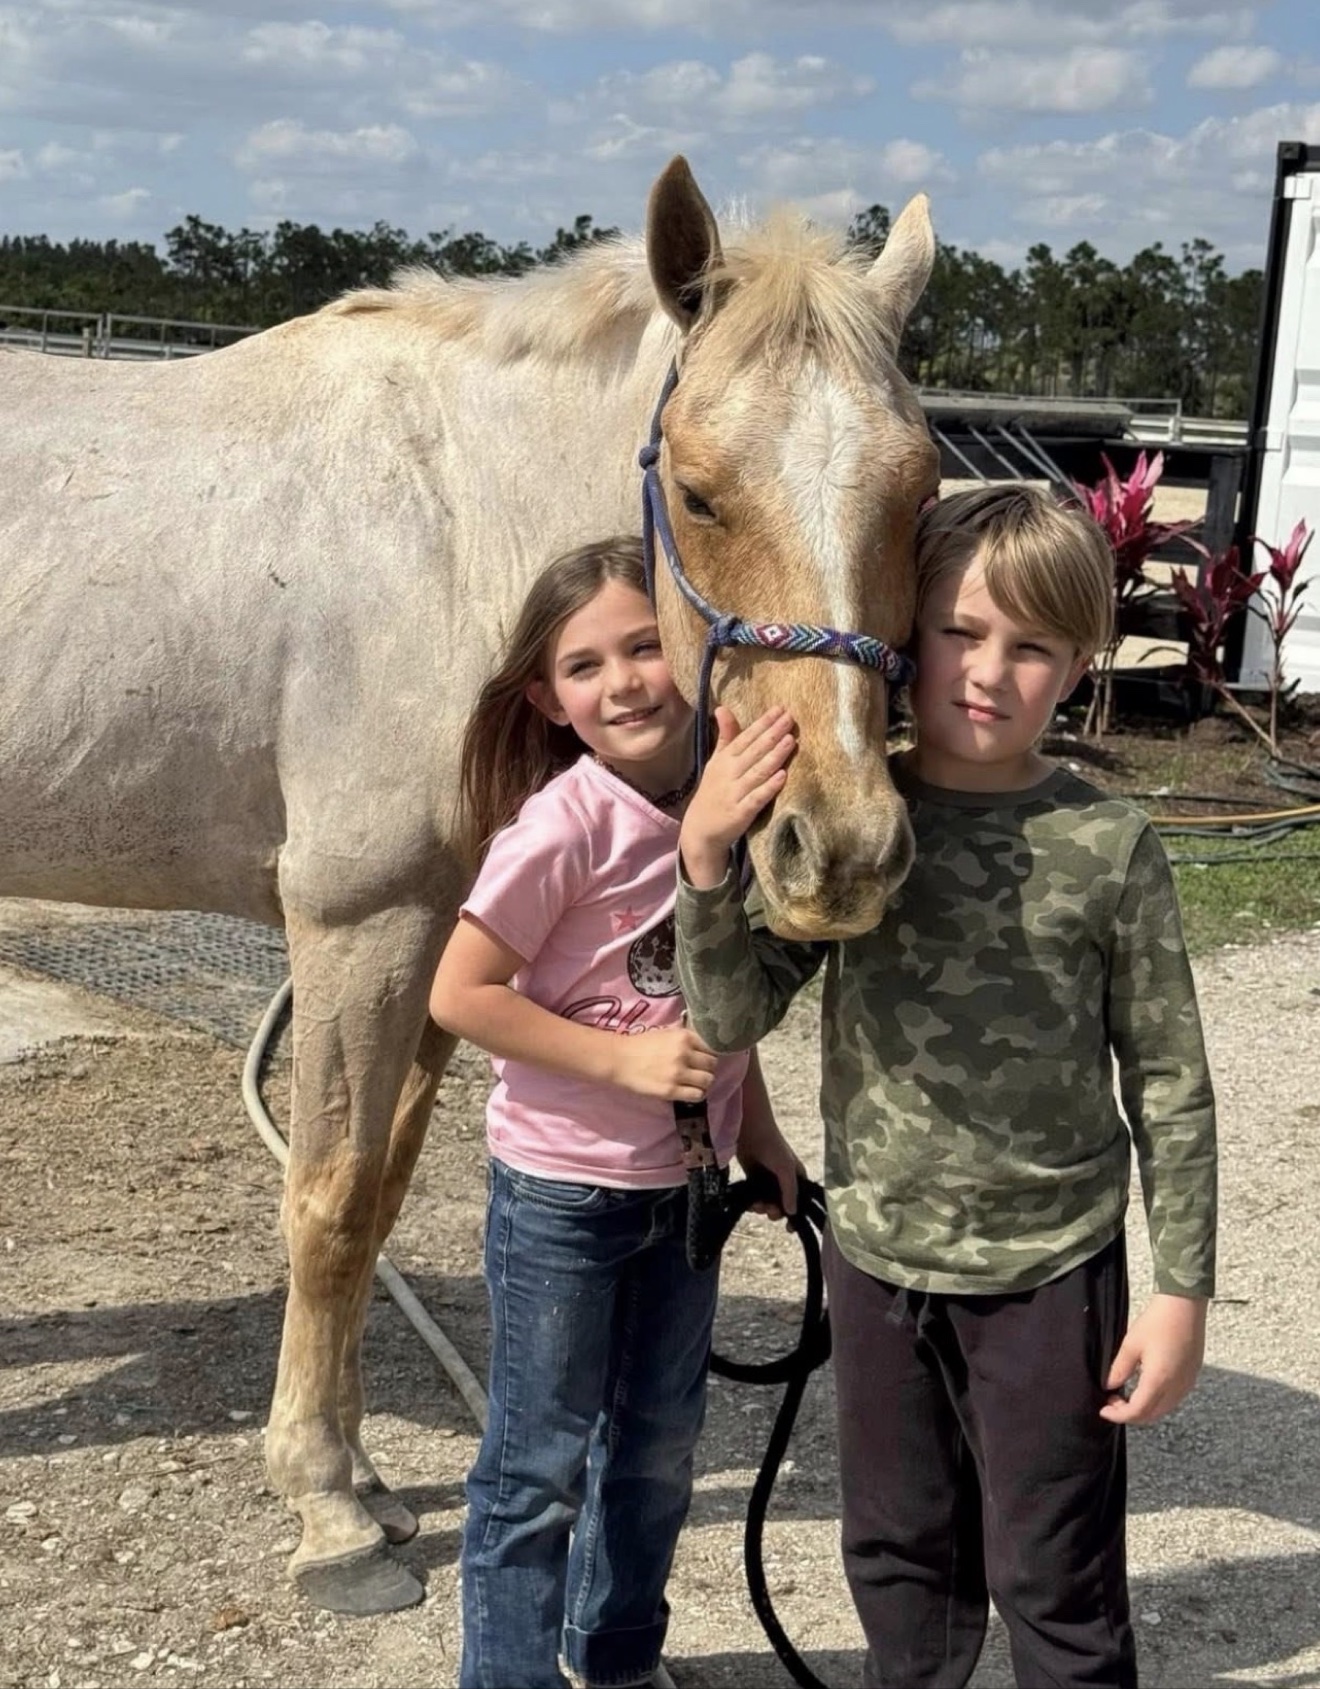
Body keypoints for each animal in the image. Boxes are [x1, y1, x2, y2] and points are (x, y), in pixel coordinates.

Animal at [0, 156, 938, 1615]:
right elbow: (329, 1203)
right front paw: (326, 1508)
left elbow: (380, 1186)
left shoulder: (443, 928)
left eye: (921, 488)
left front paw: (357, 1471)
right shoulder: (358, 927)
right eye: (703, 493)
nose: (837, 850)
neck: (450, 530)